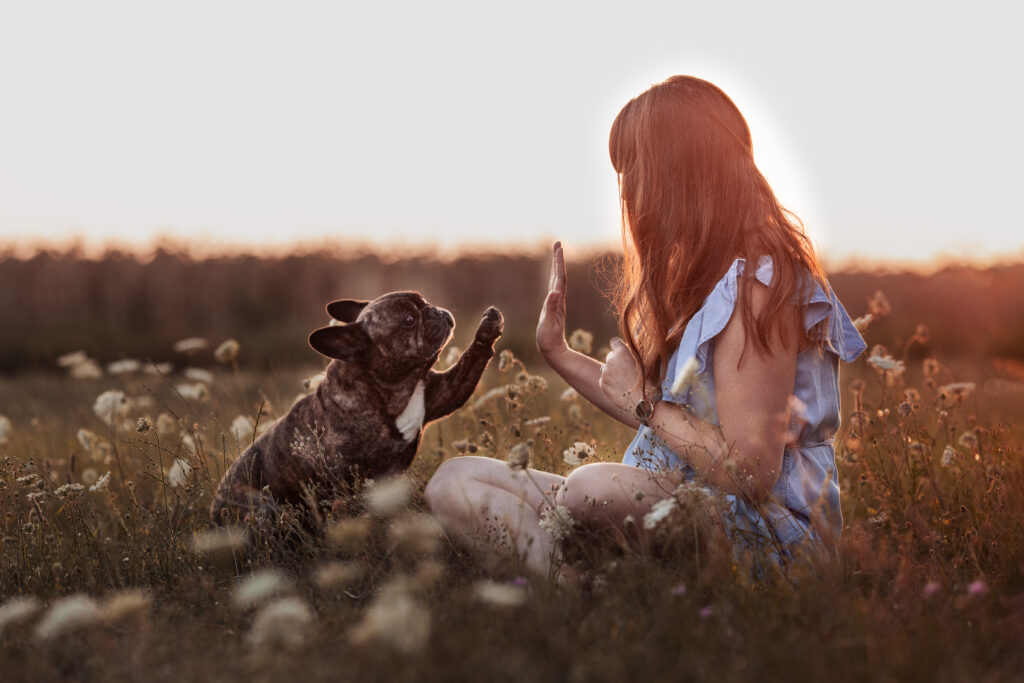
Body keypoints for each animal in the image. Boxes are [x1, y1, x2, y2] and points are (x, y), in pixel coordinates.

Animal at [211, 290, 503, 528]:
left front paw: (488, 329)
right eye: (409, 320)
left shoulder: (442, 393)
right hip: (263, 507)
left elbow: (470, 362)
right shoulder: (343, 484)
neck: (391, 386)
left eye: (424, 301)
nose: (434, 310)